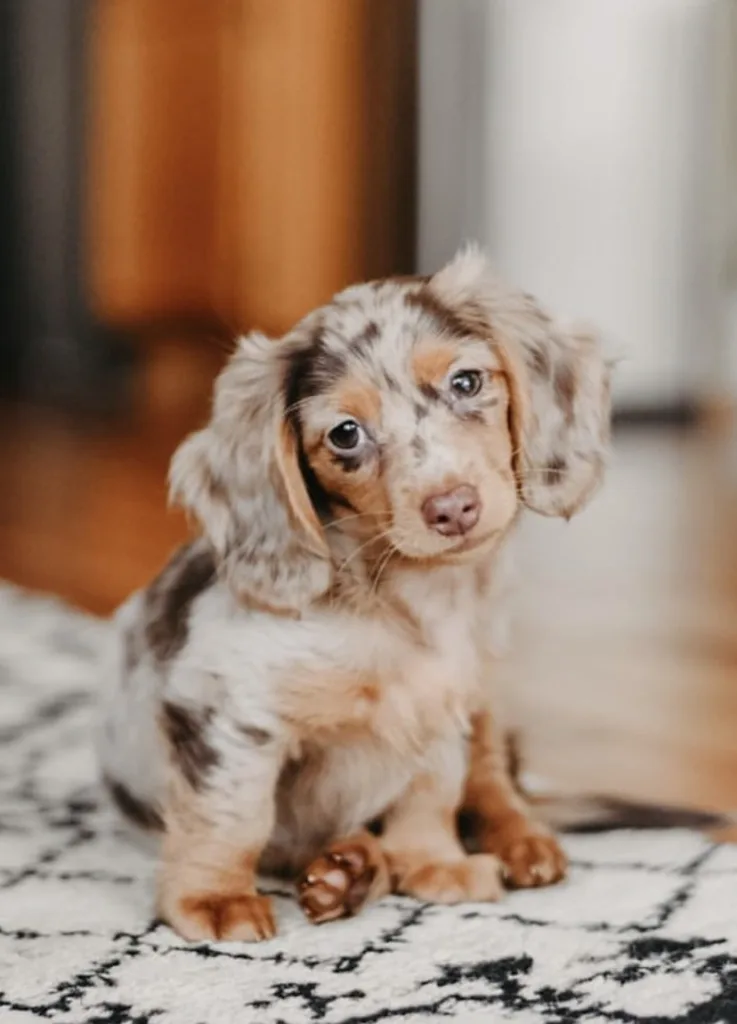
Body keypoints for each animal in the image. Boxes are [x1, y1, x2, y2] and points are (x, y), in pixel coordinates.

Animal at [97, 249, 610, 942]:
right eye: (345, 434)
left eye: (466, 382)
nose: (453, 507)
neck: (403, 603)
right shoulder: (229, 708)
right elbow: (232, 813)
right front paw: (214, 897)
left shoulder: (447, 702)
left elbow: (433, 790)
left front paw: (433, 863)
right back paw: (351, 866)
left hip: (487, 711)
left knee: (495, 783)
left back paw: (516, 842)